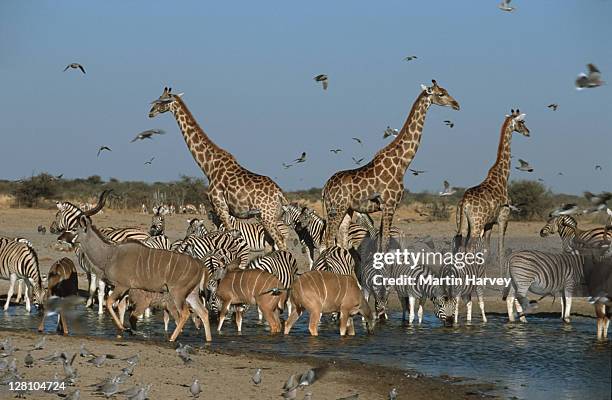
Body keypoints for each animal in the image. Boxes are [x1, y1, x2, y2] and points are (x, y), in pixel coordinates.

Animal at [150, 88, 290, 250]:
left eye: (161, 100)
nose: (150, 112)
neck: (208, 167)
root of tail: (279, 194)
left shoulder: (220, 206)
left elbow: (228, 235)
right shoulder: (217, 210)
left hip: (268, 216)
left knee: (280, 240)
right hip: (267, 216)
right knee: (272, 242)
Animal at [320, 79, 460, 252]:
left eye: (446, 91)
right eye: (441, 94)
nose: (456, 104)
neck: (402, 163)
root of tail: (325, 188)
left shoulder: (385, 207)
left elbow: (381, 243)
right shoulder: (390, 204)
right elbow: (385, 243)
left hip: (347, 209)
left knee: (340, 241)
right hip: (336, 208)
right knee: (328, 240)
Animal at [454, 109, 532, 272]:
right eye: (522, 122)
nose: (528, 132)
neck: (503, 177)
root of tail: (464, 203)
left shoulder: (489, 224)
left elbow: (486, 251)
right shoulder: (503, 219)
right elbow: (500, 250)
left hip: (462, 224)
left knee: (459, 248)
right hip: (476, 225)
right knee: (469, 249)